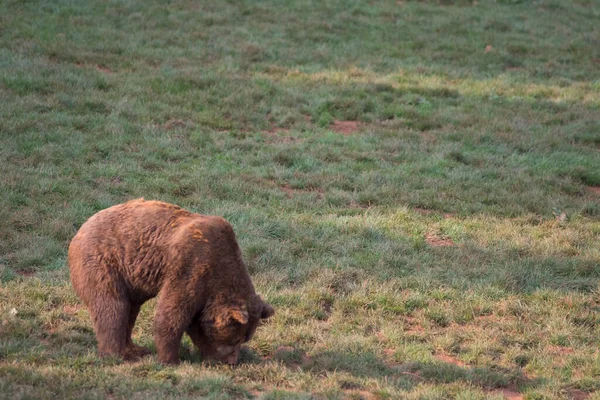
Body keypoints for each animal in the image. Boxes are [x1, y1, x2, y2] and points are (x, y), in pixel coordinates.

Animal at [67, 198, 272, 364]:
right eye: (236, 339)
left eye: (245, 339)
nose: (232, 362)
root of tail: (82, 227)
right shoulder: (191, 265)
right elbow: (172, 313)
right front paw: (171, 360)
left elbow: (195, 323)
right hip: (106, 262)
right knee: (113, 306)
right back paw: (117, 354)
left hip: (130, 280)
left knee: (131, 309)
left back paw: (136, 349)